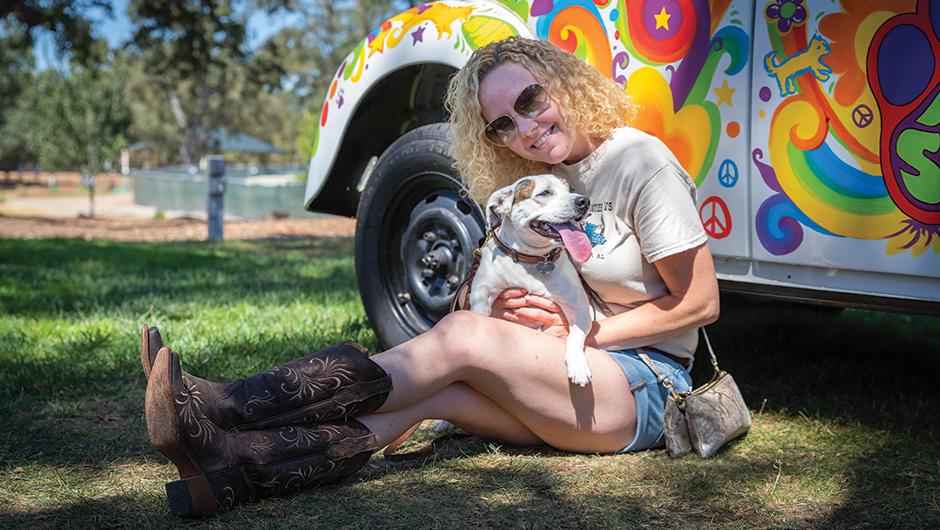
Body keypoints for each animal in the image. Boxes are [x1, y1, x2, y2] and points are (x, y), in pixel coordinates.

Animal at [470, 173, 596, 384]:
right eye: (544, 193)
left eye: (571, 189)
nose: (583, 201)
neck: (534, 259)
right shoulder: (482, 291)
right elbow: (479, 312)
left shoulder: (579, 306)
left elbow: (576, 334)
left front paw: (578, 364)